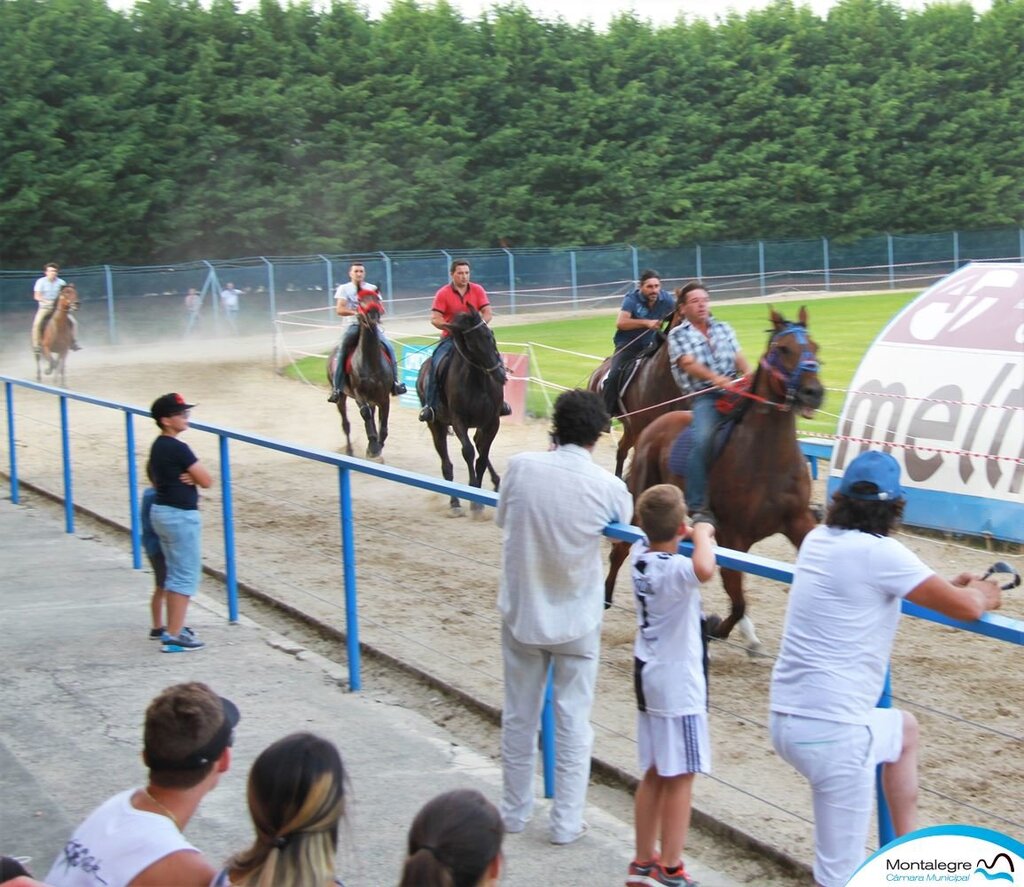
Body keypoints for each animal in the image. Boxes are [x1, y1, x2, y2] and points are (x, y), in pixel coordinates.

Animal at [325, 292, 393, 458]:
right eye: (359, 301)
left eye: (377, 299)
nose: (373, 313)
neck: (371, 363)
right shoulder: (359, 395)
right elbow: (366, 415)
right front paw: (373, 447)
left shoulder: (384, 397)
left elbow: (383, 425)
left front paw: (376, 447)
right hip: (342, 397)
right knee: (346, 423)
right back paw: (350, 450)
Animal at [417, 305, 505, 514]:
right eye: (473, 343)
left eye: (490, 335)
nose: (500, 374)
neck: (477, 381)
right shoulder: (459, 422)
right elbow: (469, 452)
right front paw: (473, 496)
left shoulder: (492, 422)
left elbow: (482, 457)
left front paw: (479, 498)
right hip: (436, 426)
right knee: (446, 464)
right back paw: (455, 501)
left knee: (479, 447)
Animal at [606, 305, 823, 651]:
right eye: (783, 349)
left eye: (814, 347)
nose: (813, 392)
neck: (767, 458)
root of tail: (657, 423)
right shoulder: (734, 536)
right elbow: (738, 600)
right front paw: (717, 627)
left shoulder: (798, 520)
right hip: (642, 497)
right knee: (621, 549)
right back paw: (606, 596)